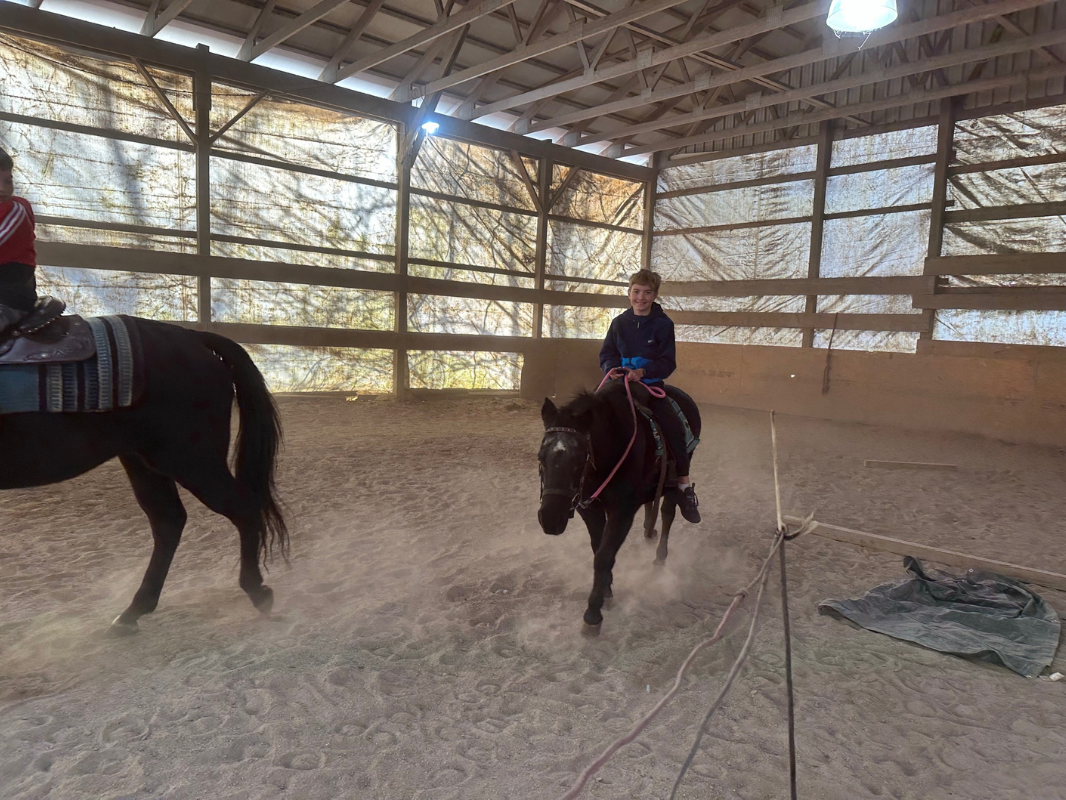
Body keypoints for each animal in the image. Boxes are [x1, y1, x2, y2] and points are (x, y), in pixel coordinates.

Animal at [0, 315, 287, 635]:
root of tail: (192, 336)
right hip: (144, 461)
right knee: (169, 521)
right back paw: (133, 611)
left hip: (192, 461)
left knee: (242, 510)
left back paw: (257, 591)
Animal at [537, 379, 703, 631]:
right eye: (540, 457)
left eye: (580, 459)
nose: (550, 518)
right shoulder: (590, 509)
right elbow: (598, 548)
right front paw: (606, 589)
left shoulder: (623, 512)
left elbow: (604, 556)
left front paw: (593, 613)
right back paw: (648, 530)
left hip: (679, 472)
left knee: (667, 513)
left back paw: (660, 555)